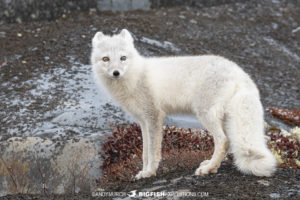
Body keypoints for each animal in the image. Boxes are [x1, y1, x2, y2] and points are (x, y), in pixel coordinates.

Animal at [91, 28, 276, 179]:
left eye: (123, 58)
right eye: (106, 59)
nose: (116, 73)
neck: (135, 76)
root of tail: (238, 71)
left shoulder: (154, 117)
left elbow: (153, 152)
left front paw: (150, 172)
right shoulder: (143, 121)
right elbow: (144, 152)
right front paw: (143, 171)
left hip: (205, 114)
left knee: (223, 141)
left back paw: (208, 169)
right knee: (229, 141)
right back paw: (211, 165)